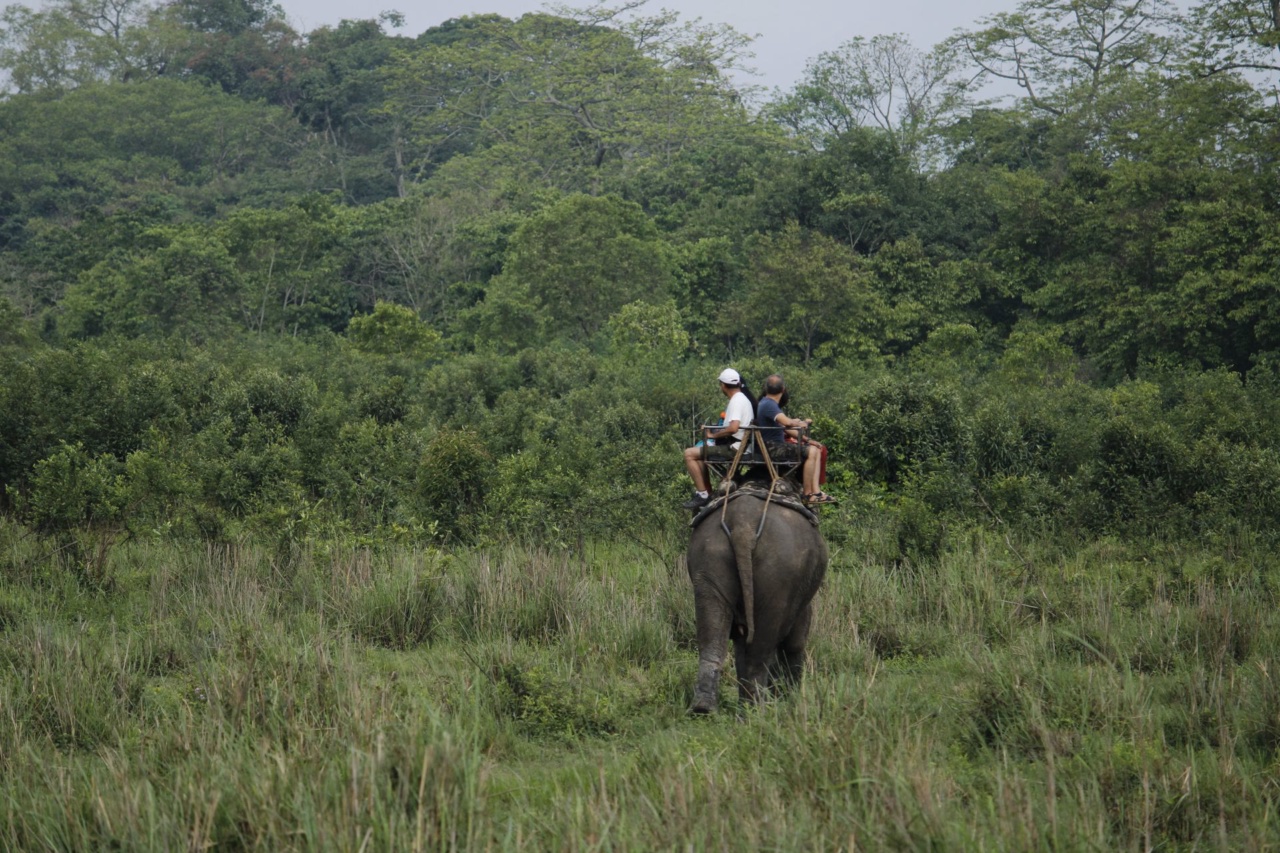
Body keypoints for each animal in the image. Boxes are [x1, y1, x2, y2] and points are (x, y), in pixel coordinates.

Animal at [685, 485, 829, 714]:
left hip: (707, 555)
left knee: (713, 630)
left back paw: (704, 709)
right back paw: (758, 711)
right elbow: (796, 640)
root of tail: (743, 525)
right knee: (762, 644)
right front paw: (791, 699)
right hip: (780, 570)